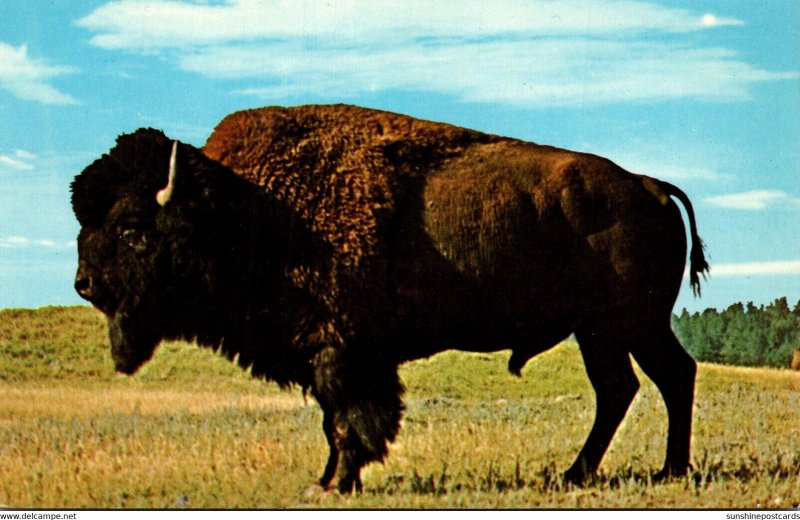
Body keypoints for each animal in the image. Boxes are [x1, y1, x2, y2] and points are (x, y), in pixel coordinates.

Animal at [69, 103, 708, 494]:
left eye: (131, 228)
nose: (84, 284)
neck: (247, 209)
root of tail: (650, 187)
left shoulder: (346, 354)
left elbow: (348, 422)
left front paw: (334, 482)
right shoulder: (331, 355)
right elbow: (335, 422)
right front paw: (328, 480)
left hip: (627, 323)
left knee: (662, 379)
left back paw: (660, 471)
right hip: (605, 330)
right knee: (629, 387)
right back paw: (590, 473)